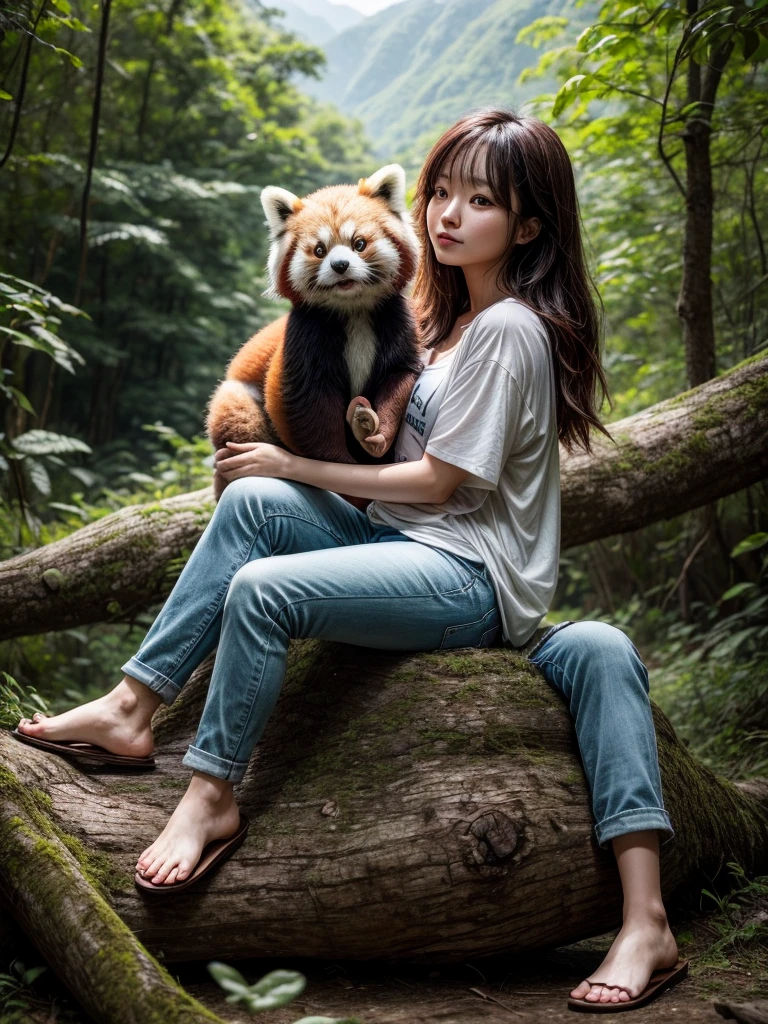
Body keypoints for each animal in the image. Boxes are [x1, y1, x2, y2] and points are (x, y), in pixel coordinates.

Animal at [204, 164, 423, 495]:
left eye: (359, 243)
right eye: (320, 250)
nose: (340, 265)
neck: (353, 310)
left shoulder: (396, 323)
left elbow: (398, 380)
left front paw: (374, 436)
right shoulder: (304, 340)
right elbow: (306, 414)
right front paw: (340, 468)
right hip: (235, 401)